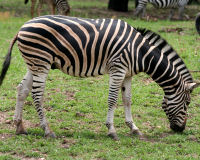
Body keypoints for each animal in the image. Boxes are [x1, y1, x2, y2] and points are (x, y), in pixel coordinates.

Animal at [0, 15, 199, 139]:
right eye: (188, 103)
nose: (180, 130)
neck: (140, 52)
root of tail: (22, 27)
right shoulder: (118, 68)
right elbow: (113, 99)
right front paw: (111, 130)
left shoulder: (128, 74)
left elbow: (127, 99)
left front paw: (134, 128)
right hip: (41, 62)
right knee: (37, 95)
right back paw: (47, 130)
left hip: (35, 63)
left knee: (22, 89)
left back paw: (19, 127)